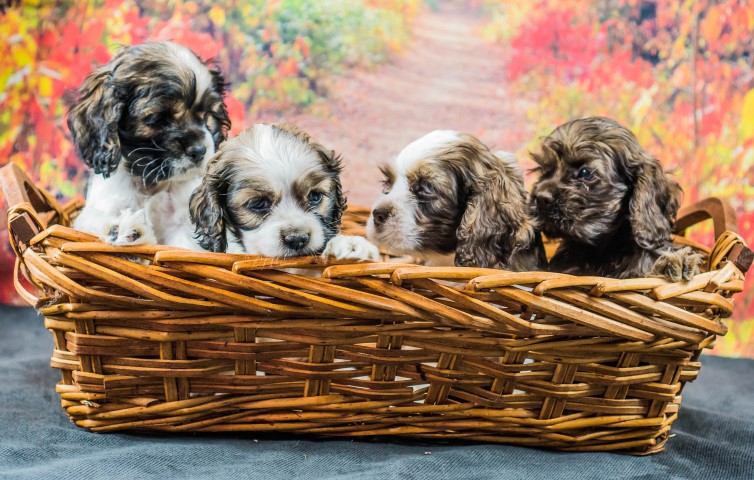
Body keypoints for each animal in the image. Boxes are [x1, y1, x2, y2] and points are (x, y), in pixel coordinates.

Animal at [67, 41, 230, 247]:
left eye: (207, 115)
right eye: (157, 118)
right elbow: (95, 220)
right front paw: (120, 230)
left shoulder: (183, 226)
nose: (199, 150)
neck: (151, 184)